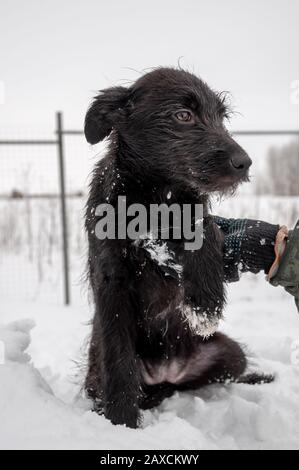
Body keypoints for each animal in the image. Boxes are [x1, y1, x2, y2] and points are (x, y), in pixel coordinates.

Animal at [84, 68, 270, 428]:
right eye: (183, 116)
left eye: (221, 118)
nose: (244, 163)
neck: (155, 202)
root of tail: (167, 371)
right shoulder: (111, 282)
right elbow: (120, 362)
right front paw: (122, 422)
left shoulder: (196, 212)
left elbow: (206, 225)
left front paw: (205, 301)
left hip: (230, 353)